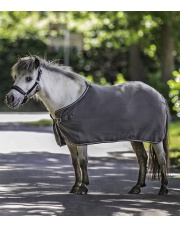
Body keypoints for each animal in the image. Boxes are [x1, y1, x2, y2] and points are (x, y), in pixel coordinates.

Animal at [5, 55, 169, 195]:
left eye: (29, 78)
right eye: (16, 77)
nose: (10, 98)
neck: (68, 99)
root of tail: (159, 96)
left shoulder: (80, 139)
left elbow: (83, 162)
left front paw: (83, 187)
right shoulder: (70, 141)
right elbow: (75, 162)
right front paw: (75, 186)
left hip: (155, 139)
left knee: (162, 159)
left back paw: (163, 189)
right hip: (136, 138)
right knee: (142, 158)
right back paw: (136, 187)